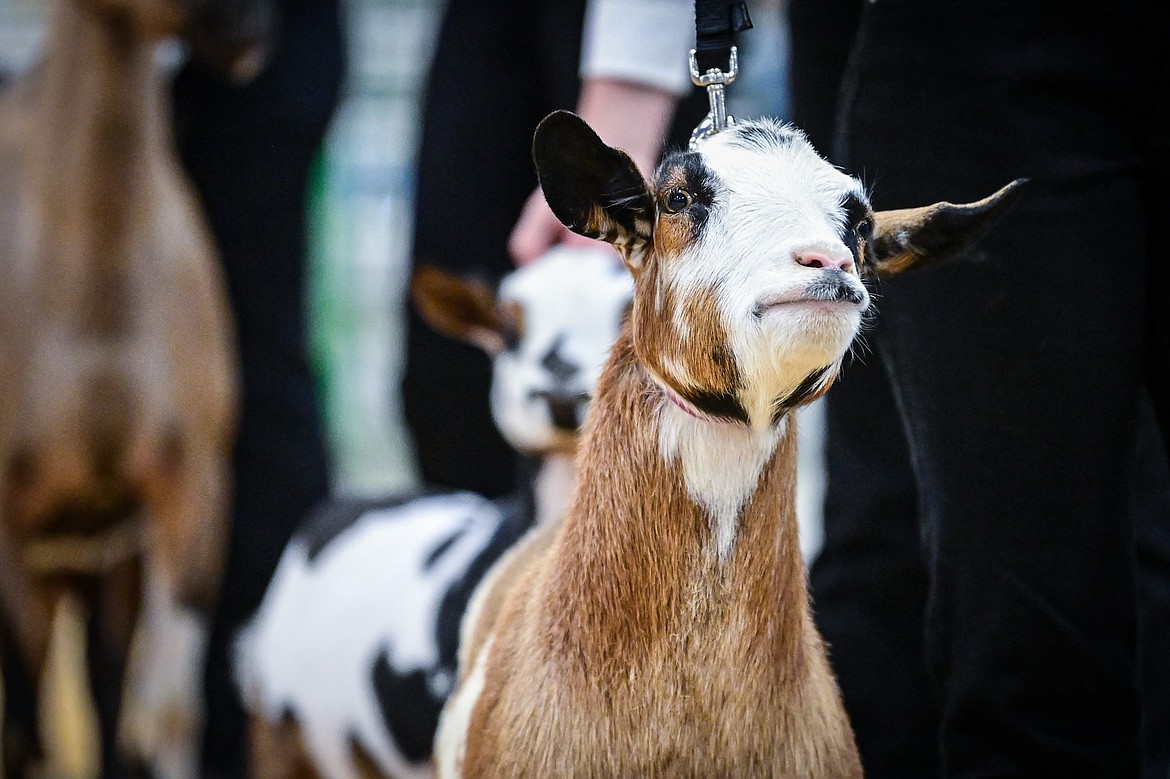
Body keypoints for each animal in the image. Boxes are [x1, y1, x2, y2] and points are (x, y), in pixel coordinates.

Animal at [0, 0, 267, 771]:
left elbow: (168, 711)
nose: (251, 26)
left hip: (105, 553)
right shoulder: (10, 519)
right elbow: (29, 724)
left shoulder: (190, 489)